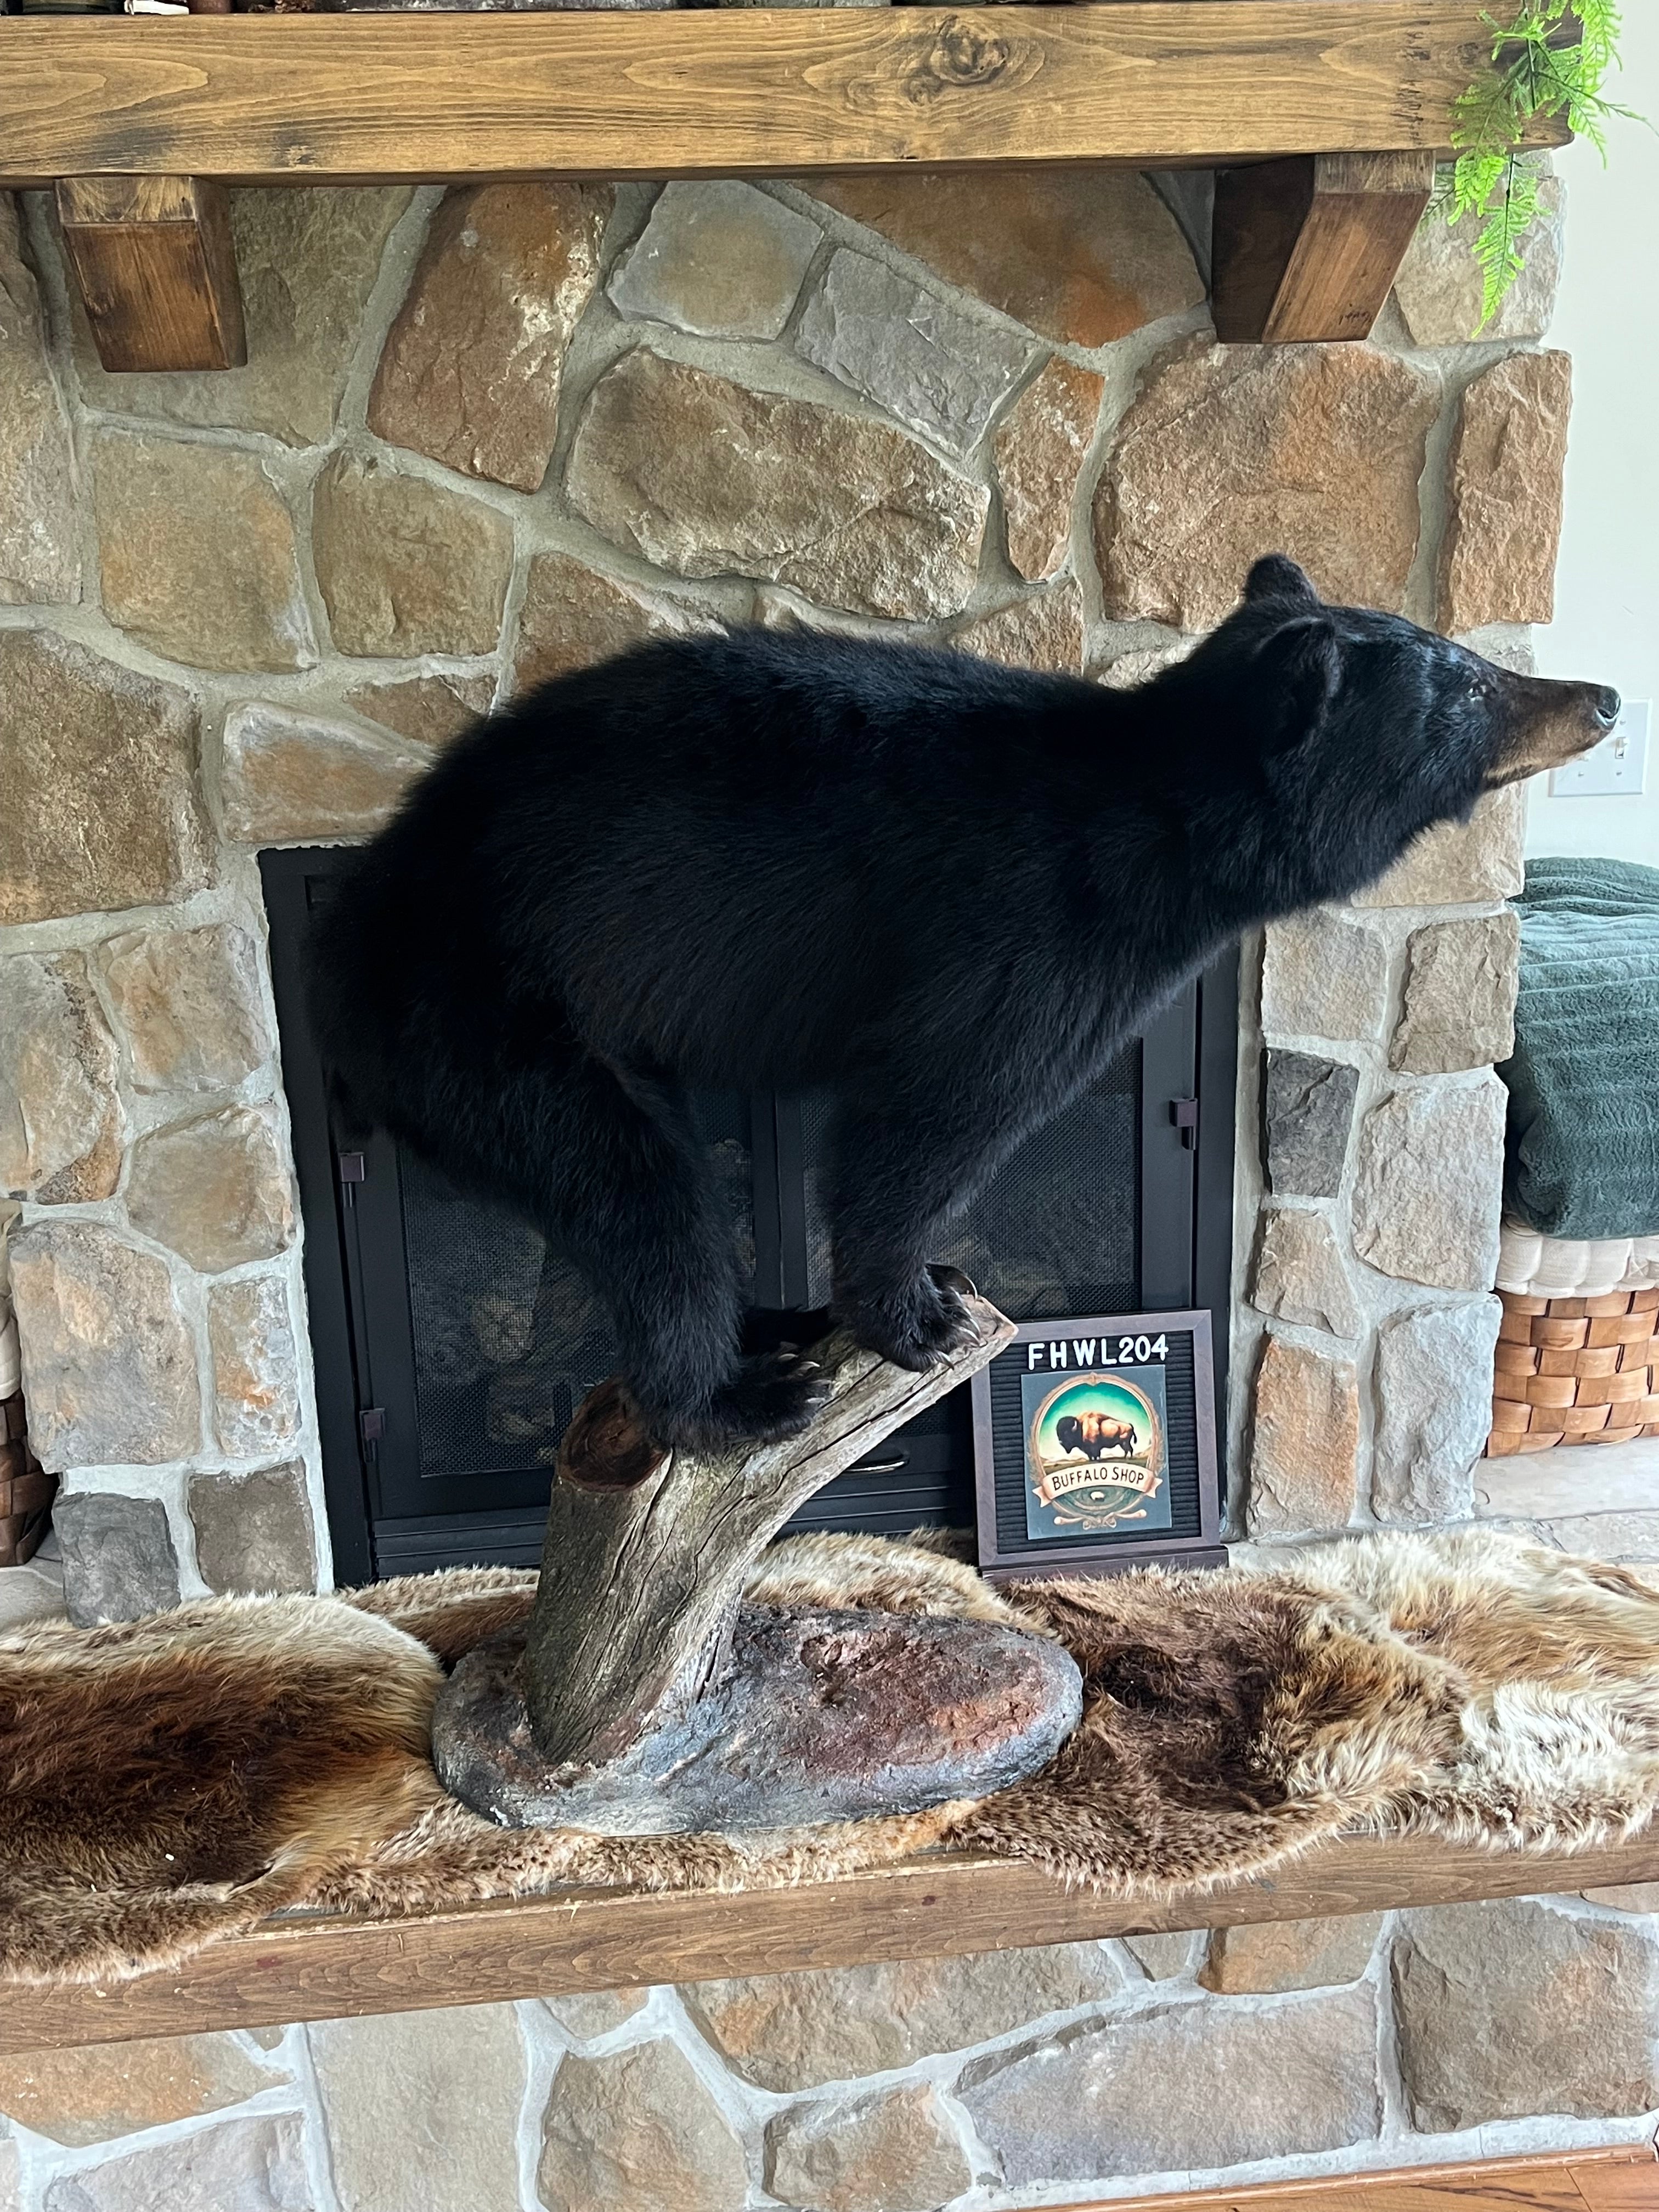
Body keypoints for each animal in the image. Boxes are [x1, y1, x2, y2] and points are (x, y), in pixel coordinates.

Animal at [306, 555, 1618, 1450]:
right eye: (1465, 684)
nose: (1599, 696)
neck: (1167, 827)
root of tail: (354, 921)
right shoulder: (1026, 938)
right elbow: (932, 1119)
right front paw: (915, 1312)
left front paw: (921, 1292)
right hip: (491, 1022)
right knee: (639, 1198)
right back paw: (734, 1394)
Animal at [1055, 1413, 1138, 1462]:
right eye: (1058, 1433)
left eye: (1066, 1433)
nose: (1060, 1442)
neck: (1081, 1427)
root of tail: (1129, 1425)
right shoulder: (1088, 1449)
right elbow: (1090, 1456)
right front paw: (1091, 1460)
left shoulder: (1095, 1447)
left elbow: (1096, 1454)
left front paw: (1097, 1460)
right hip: (1123, 1443)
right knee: (1129, 1450)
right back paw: (1126, 1458)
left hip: (1124, 1442)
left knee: (1129, 1450)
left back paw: (1128, 1458)